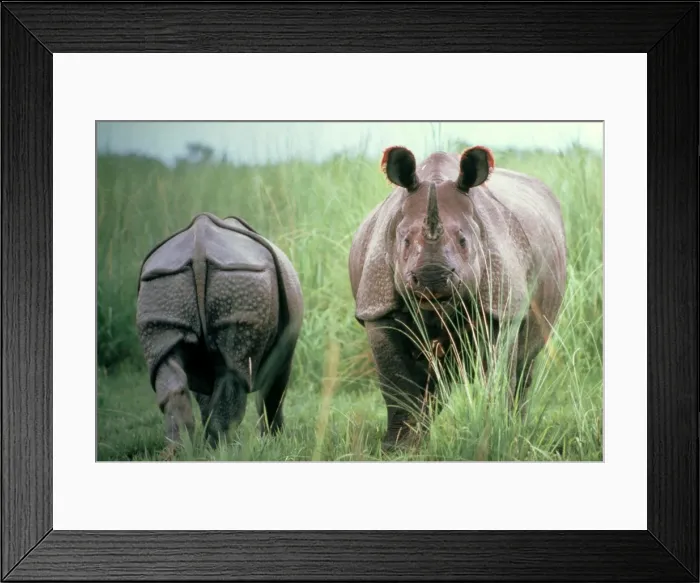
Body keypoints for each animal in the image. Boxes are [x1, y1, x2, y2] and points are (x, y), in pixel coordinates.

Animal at [136, 212, 303, 453]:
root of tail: (198, 248)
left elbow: (206, 397)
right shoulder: (284, 355)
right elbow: (273, 394)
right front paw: (275, 441)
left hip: (163, 285)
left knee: (171, 367)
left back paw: (183, 452)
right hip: (240, 277)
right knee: (235, 371)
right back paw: (222, 449)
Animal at [348, 145, 567, 450]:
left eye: (464, 241)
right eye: (404, 242)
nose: (432, 278)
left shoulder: (501, 308)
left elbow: (498, 377)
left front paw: (495, 435)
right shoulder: (377, 306)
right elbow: (396, 385)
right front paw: (398, 450)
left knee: (525, 365)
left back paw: (518, 430)